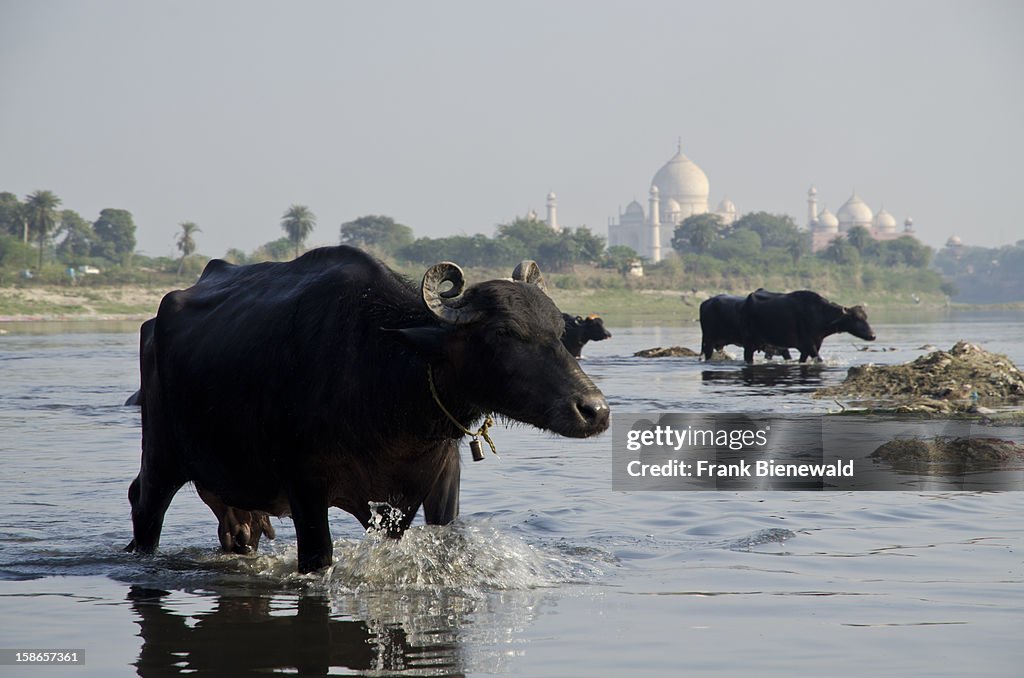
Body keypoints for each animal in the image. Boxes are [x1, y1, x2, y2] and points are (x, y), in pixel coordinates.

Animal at [126, 245, 606, 573]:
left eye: (558, 329)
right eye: (504, 333)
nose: (594, 410)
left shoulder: (436, 485)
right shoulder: (306, 487)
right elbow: (318, 556)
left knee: (240, 527)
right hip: (161, 456)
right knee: (144, 504)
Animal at [741, 288, 876, 364]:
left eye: (865, 317)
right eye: (855, 318)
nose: (873, 335)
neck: (820, 314)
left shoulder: (813, 345)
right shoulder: (809, 345)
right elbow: (819, 359)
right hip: (750, 342)